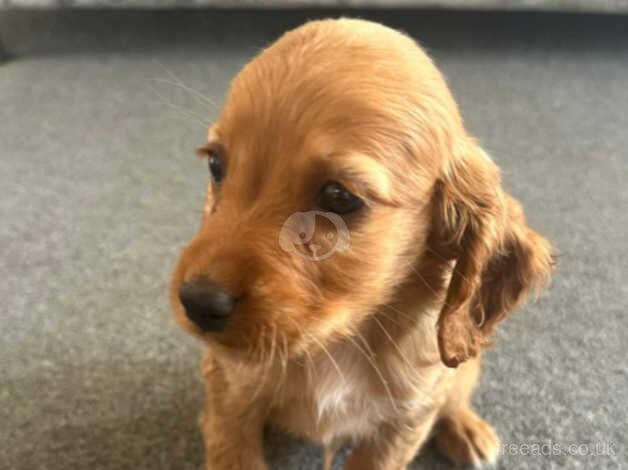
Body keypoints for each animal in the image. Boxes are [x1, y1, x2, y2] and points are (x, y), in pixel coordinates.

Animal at [170, 19, 556, 470]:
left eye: (339, 197)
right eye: (216, 165)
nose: (197, 301)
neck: (337, 342)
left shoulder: (404, 421)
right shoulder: (231, 395)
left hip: (465, 364)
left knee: (455, 396)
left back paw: (465, 427)